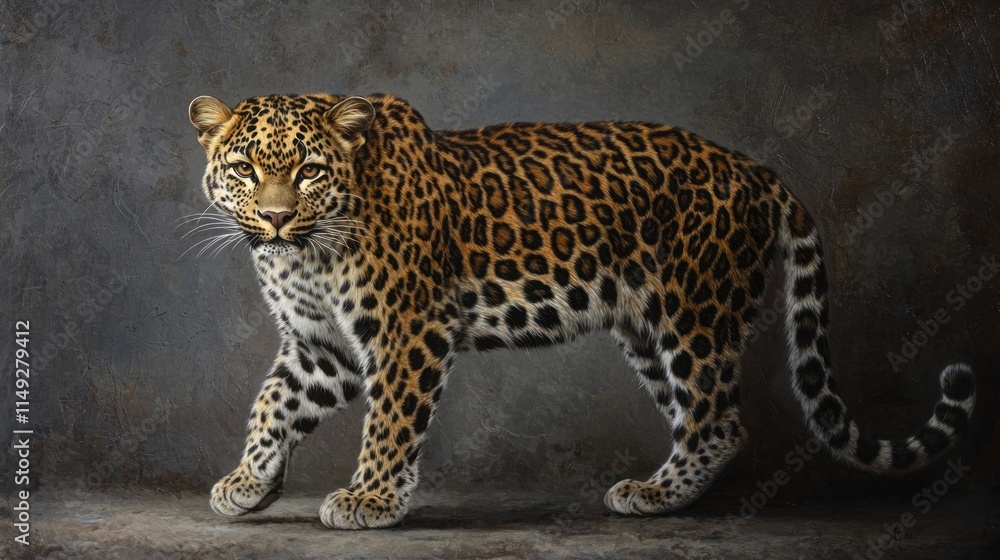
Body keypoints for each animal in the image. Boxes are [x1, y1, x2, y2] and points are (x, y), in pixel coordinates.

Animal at [186, 92, 976, 530]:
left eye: (310, 170)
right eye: (246, 169)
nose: (275, 218)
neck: (305, 254)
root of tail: (755, 170)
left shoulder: (407, 331)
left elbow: (390, 423)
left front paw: (371, 500)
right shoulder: (320, 346)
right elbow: (274, 402)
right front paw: (249, 484)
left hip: (695, 311)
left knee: (717, 418)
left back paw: (654, 492)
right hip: (649, 328)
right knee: (709, 421)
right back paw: (663, 496)